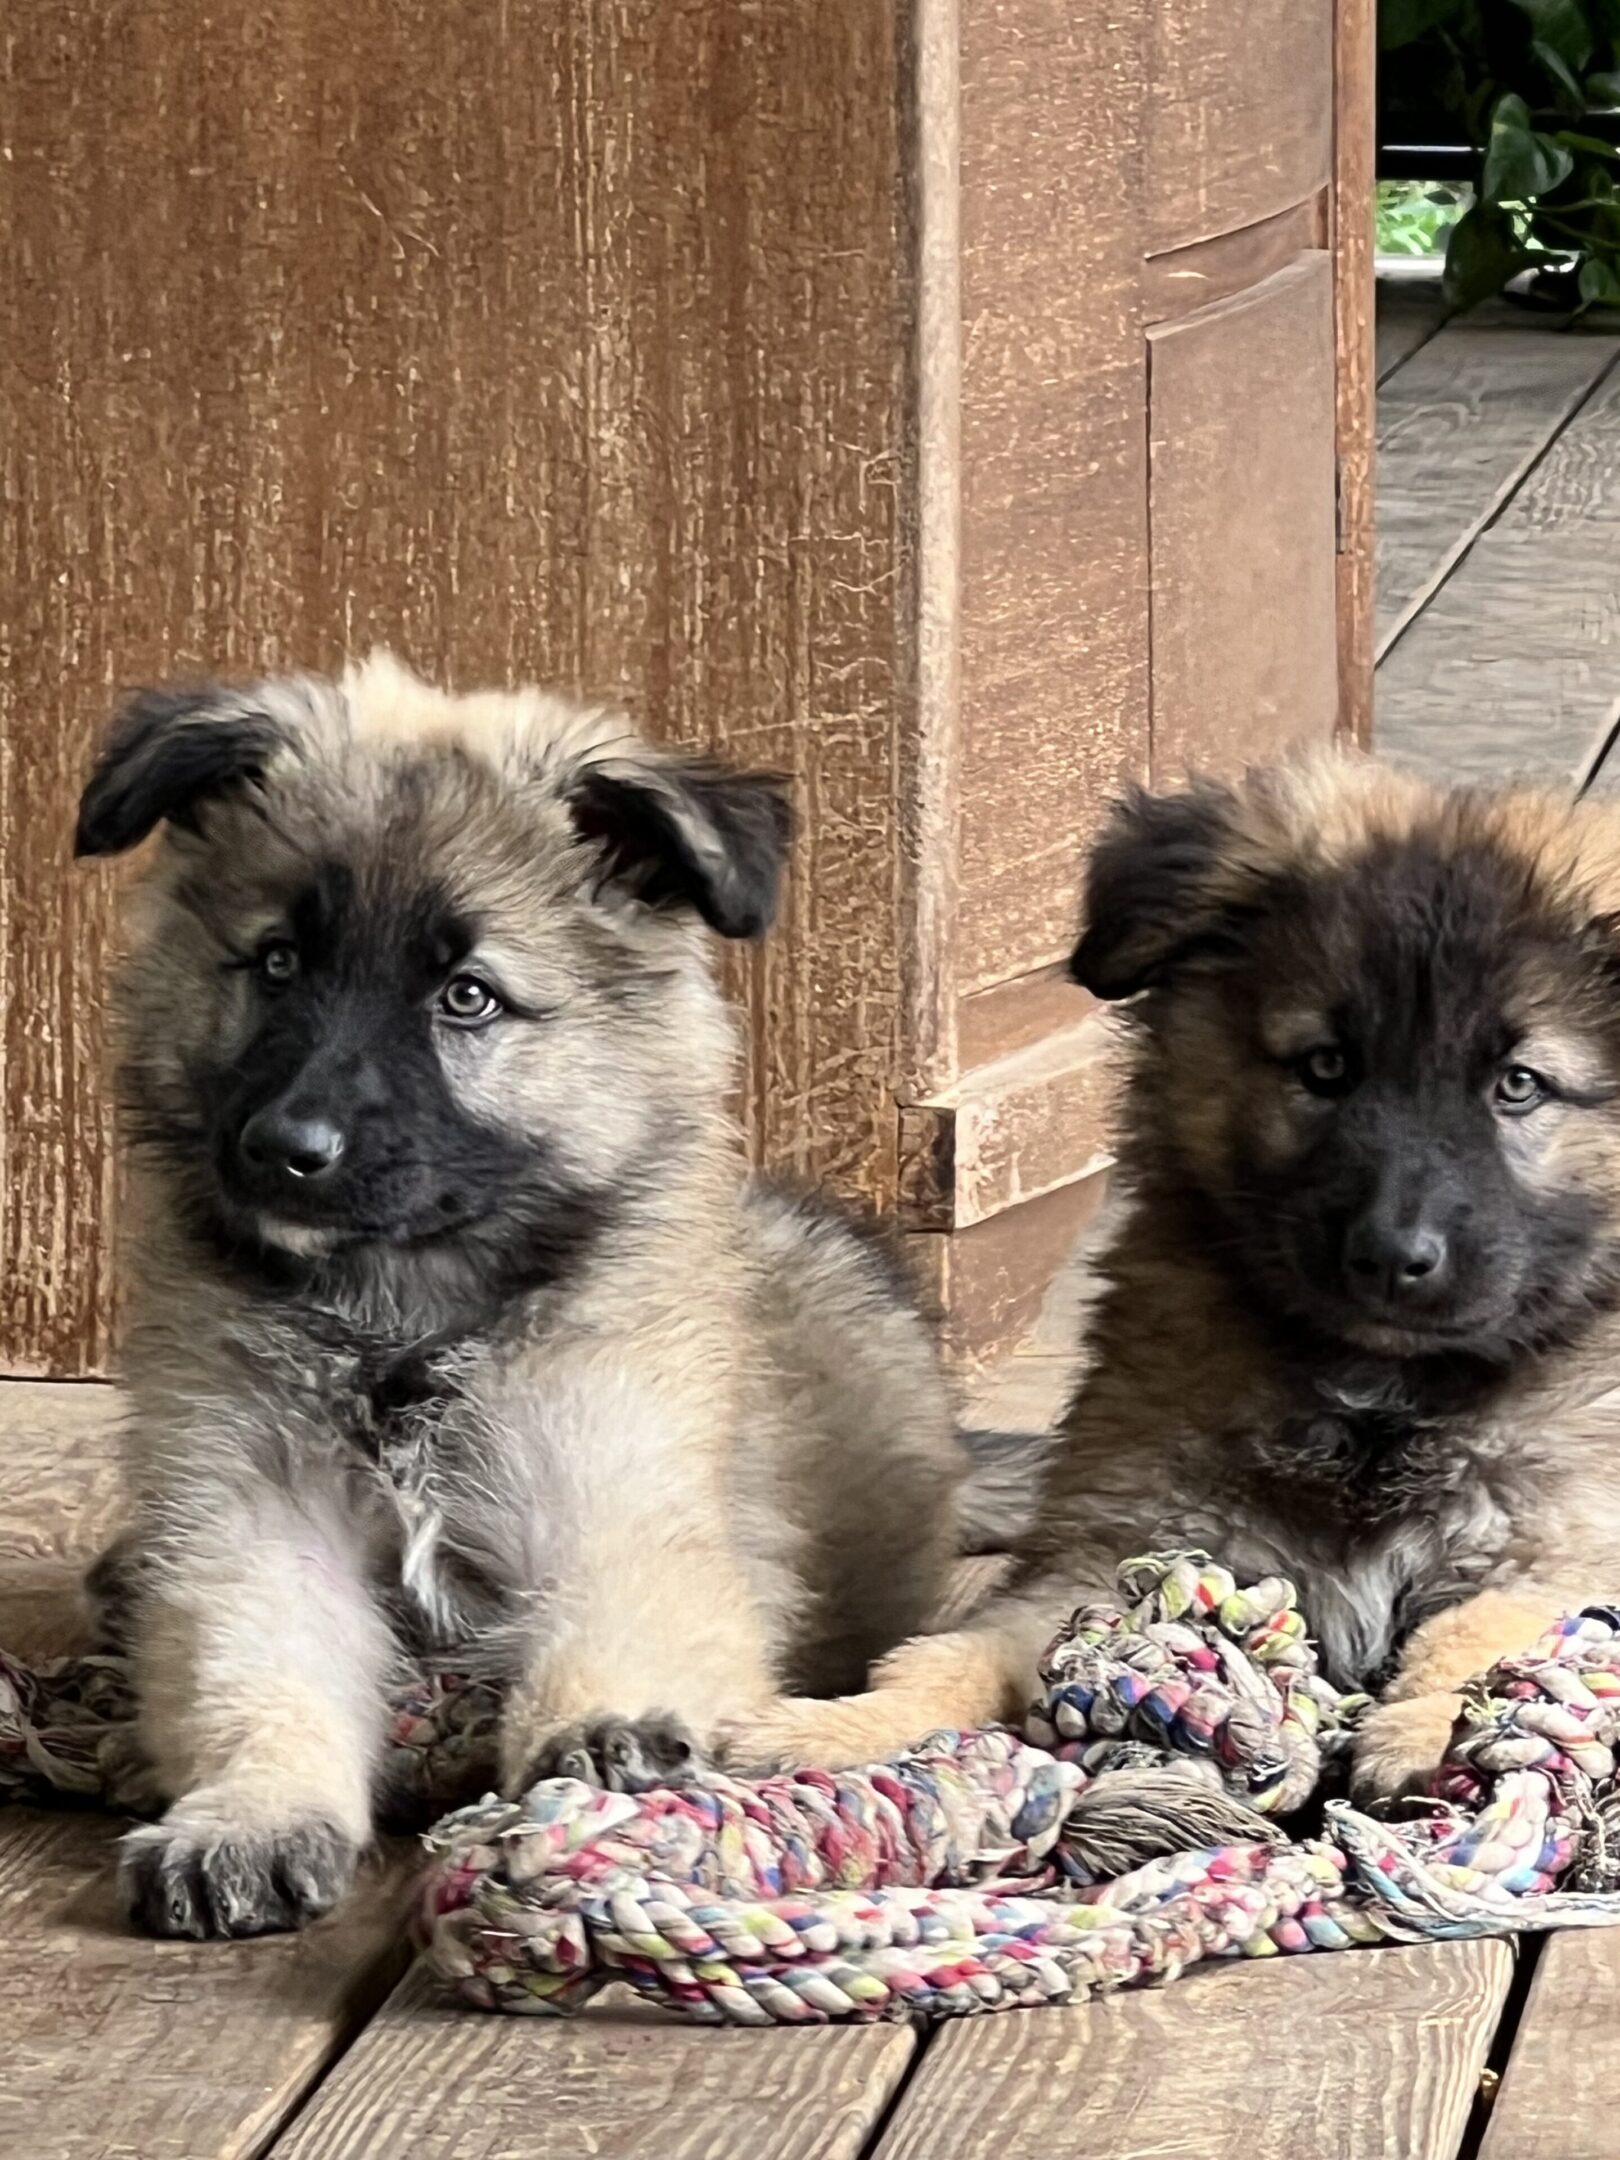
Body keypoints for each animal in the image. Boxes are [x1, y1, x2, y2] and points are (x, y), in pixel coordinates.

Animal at [76, 648, 963, 1935]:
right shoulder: (251, 1513)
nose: (288, 1149)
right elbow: (258, 1668)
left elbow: (626, 1615)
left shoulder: (619, 1488)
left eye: (468, 996)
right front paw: (248, 1815)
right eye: (278, 962)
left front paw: (611, 1731)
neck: (402, 1320)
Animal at [730, 751, 1620, 1797]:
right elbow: (954, 1653)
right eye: (1326, 1066)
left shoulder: (1552, 1549)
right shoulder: (1110, 1553)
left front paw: (1445, 1728)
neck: (1375, 1397)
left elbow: (1487, 1629)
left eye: (1518, 1085)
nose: (1391, 1256)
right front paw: (838, 1728)